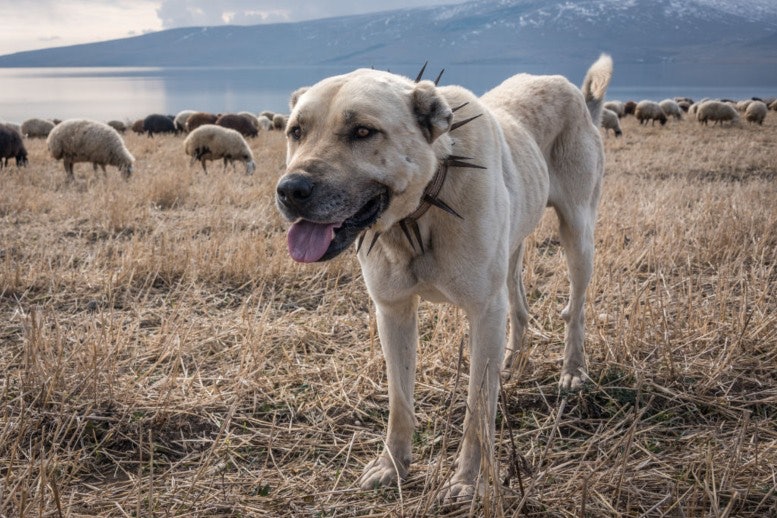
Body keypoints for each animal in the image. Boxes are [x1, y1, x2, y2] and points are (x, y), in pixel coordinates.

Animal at [278, 55, 612, 504]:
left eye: (363, 131)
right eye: (296, 131)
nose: (290, 190)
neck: (423, 205)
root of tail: (574, 92)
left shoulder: (484, 312)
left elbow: (478, 408)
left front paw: (469, 481)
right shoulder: (393, 311)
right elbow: (400, 401)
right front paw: (392, 466)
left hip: (578, 234)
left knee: (575, 308)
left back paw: (573, 370)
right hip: (512, 248)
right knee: (519, 303)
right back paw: (513, 360)